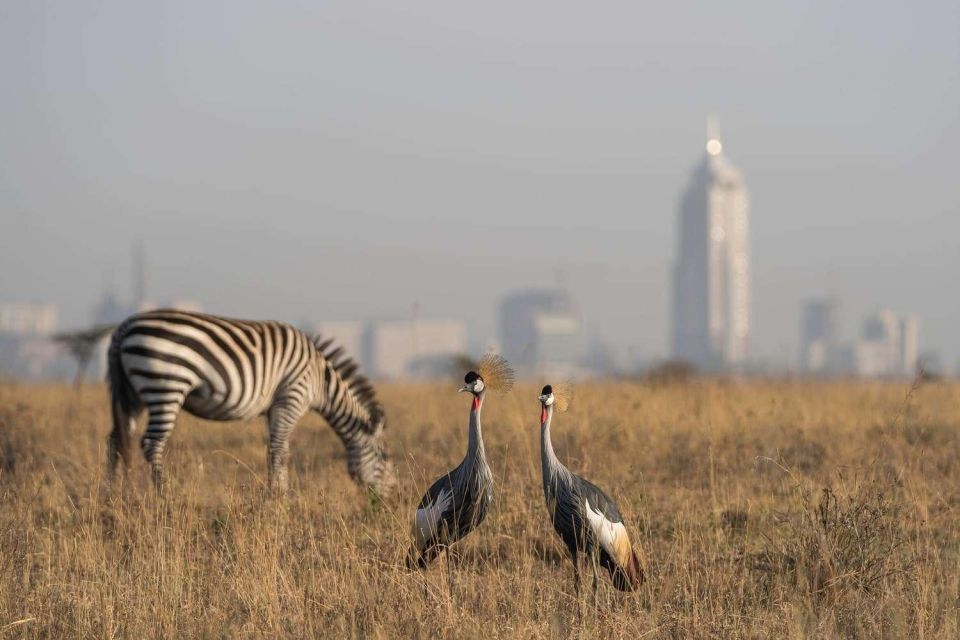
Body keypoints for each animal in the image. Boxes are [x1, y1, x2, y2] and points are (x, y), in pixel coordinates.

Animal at [105, 310, 390, 496]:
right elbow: (281, 451)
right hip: (165, 386)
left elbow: (275, 450)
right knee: (151, 443)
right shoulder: (291, 399)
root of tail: (124, 328)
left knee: (117, 440)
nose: (393, 496)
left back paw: (115, 496)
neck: (321, 381)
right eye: (385, 456)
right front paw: (279, 498)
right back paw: (165, 496)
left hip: (132, 394)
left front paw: (278, 494)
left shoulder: (274, 408)